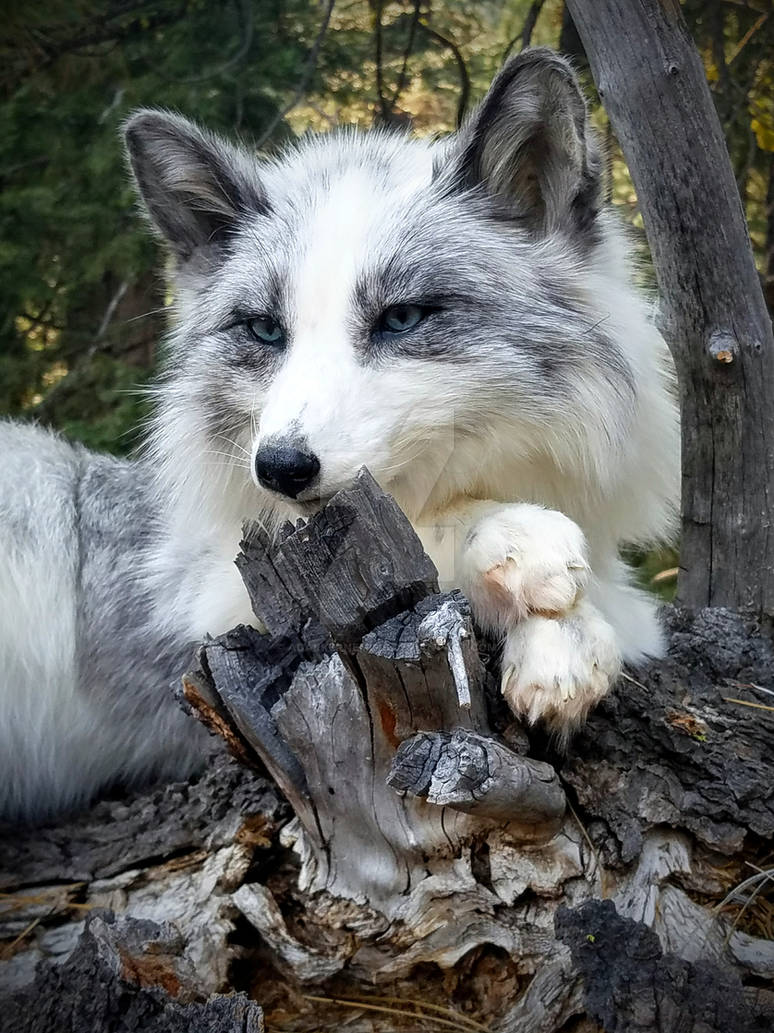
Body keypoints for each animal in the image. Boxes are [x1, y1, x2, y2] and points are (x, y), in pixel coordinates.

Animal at [0, 49, 678, 821]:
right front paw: (517, 546)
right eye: (265, 330)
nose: (280, 467)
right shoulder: (224, 599)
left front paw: (565, 649)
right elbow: (418, 533)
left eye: (402, 318)